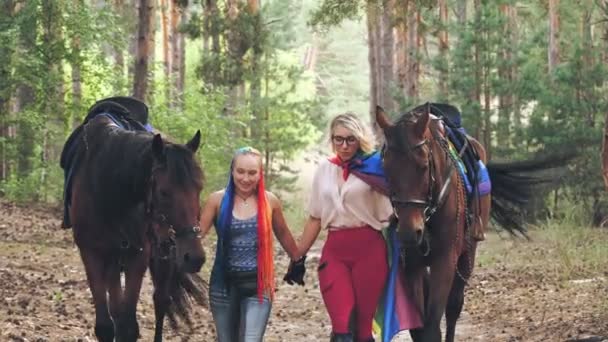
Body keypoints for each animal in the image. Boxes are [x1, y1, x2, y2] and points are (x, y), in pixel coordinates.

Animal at [62, 102, 208, 342]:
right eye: (164, 192)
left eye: (199, 188)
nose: (194, 257)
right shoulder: (91, 254)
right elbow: (106, 325)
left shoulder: (137, 255)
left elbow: (128, 327)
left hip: (164, 254)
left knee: (161, 301)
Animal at [378, 103, 564, 342]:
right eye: (386, 168)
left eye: (423, 166)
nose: (410, 232)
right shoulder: (412, 263)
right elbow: (419, 328)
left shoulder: (445, 260)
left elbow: (433, 325)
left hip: (468, 252)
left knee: (453, 307)